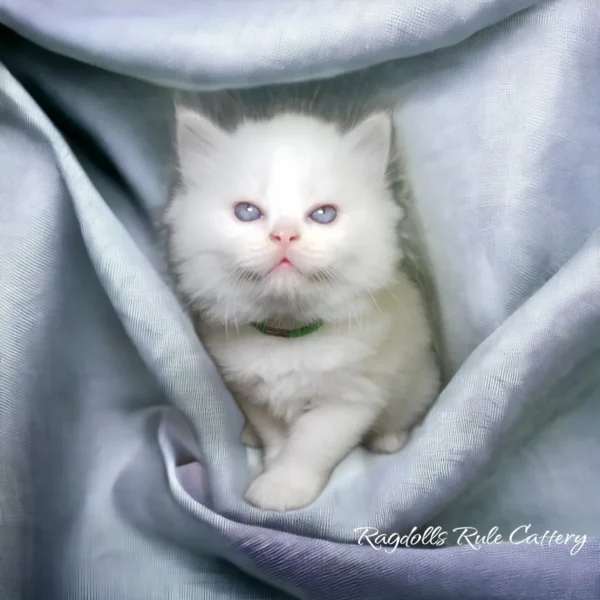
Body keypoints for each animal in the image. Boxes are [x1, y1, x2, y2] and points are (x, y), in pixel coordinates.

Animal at [166, 108, 438, 510]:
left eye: (323, 215)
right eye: (247, 212)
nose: (284, 235)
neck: (288, 336)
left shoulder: (348, 398)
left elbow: (310, 447)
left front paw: (282, 489)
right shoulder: (249, 390)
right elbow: (277, 434)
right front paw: (273, 464)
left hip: (417, 381)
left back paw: (388, 438)